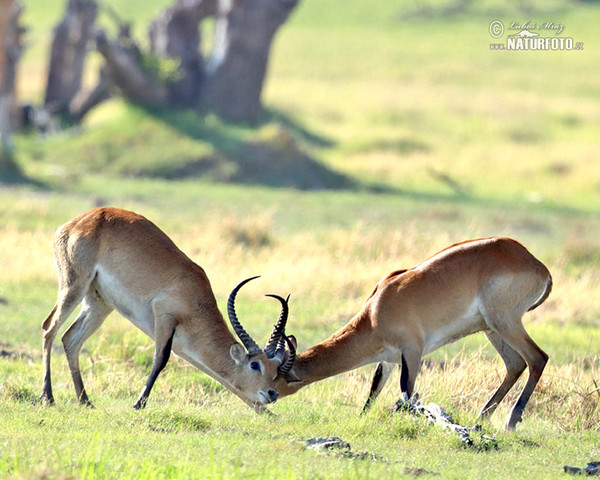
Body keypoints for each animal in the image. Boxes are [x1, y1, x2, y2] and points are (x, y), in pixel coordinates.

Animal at [39, 208, 296, 410]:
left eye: (275, 368)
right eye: (255, 364)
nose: (272, 393)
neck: (195, 299)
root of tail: (76, 221)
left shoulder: (187, 348)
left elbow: (221, 379)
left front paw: (267, 414)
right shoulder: (164, 317)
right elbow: (160, 359)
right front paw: (138, 404)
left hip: (99, 303)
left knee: (71, 339)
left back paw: (85, 401)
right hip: (74, 285)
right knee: (49, 328)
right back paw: (48, 397)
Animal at [272, 238, 552, 430]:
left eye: (274, 380)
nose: (264, 400)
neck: (376, 311)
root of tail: (535, 263)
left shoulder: (413, 353)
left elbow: (407, 393)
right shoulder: (389, 360)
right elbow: (373, 392)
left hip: (504, 321)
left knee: (538, 358)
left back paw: (510, 422)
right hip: (490, 328)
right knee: (515, 364)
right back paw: (481, 418)